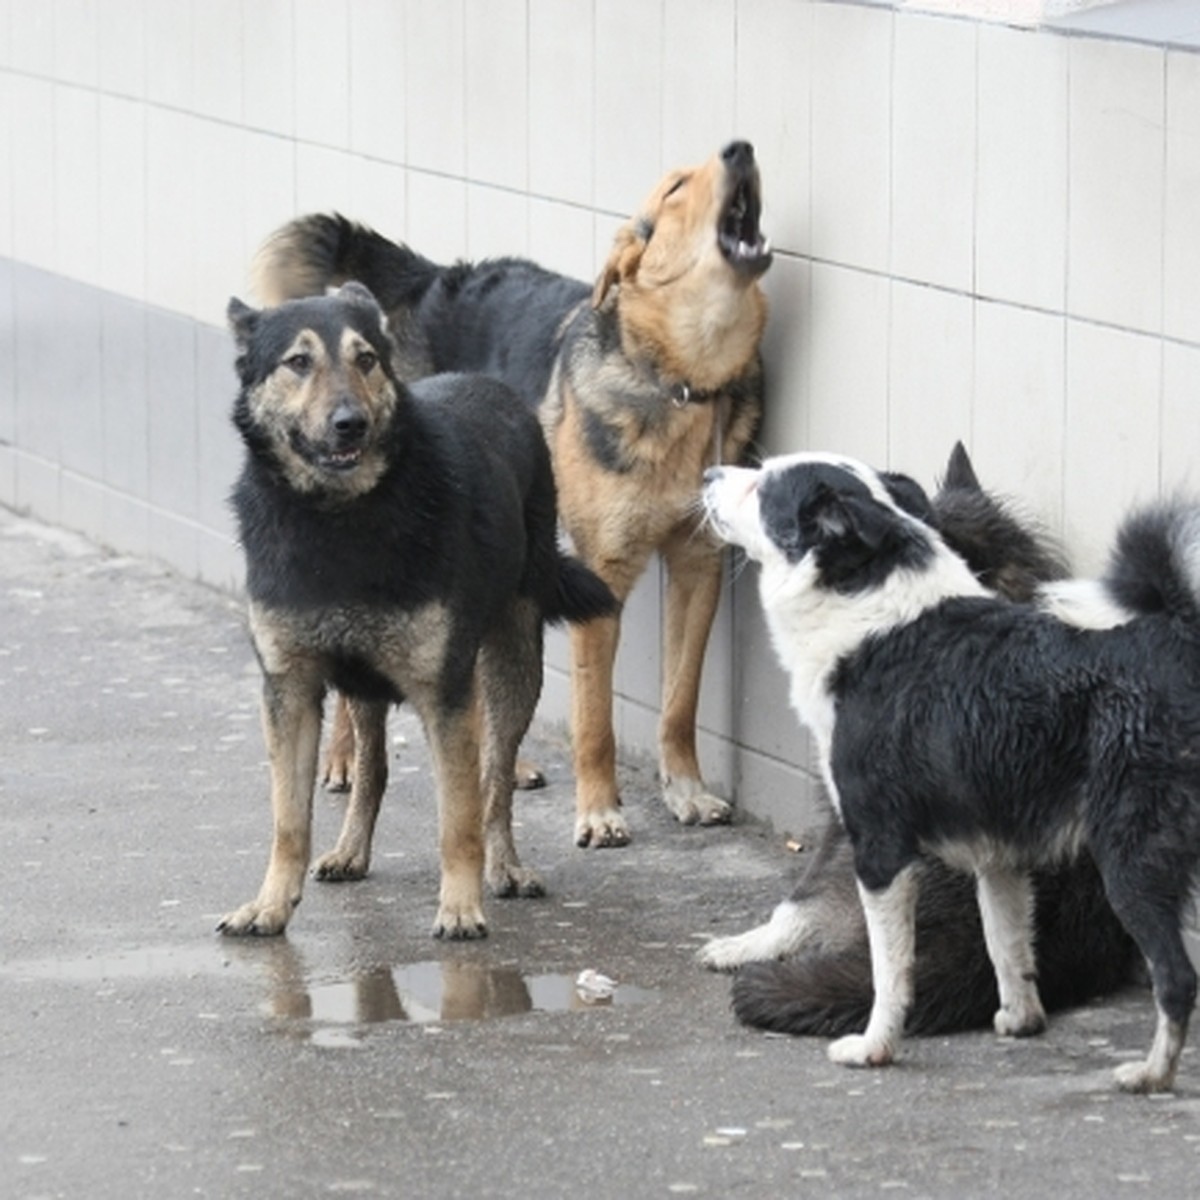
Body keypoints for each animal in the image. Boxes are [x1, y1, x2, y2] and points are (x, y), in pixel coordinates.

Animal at [216, 280, 614, 936]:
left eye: (366, 359)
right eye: (298, 362)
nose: (349, 425)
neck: (340, 518)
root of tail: (489, 384)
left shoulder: (444, 693)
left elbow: (459, 815)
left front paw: (460, 905)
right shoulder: (289, 691)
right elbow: (289, 820)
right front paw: (271, 904)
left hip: (512, 665)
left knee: (495, 779)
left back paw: (504, 866)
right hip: (364, 683)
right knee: (373, 767)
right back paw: (351, 850)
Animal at [254, 140, 777, 849]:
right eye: (675, 188)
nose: (740, 148)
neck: (681, 381)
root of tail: (431, 278)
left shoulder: (699, 567)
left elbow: (680, 700)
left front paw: (686, 790)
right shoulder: (603, 573)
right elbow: (594, 716)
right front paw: (599, 809)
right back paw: (343, 756)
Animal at [700, 451, 1200, 1099]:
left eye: (762, 486)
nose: (707, 475)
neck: (870, 611)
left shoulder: (879, 849)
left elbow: (890, 970)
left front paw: (876, 1046)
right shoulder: (998, 855)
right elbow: (1007, 946)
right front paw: (1020, 1020)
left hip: (1131, 860)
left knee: (1177, 978)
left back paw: (1153, 1073)